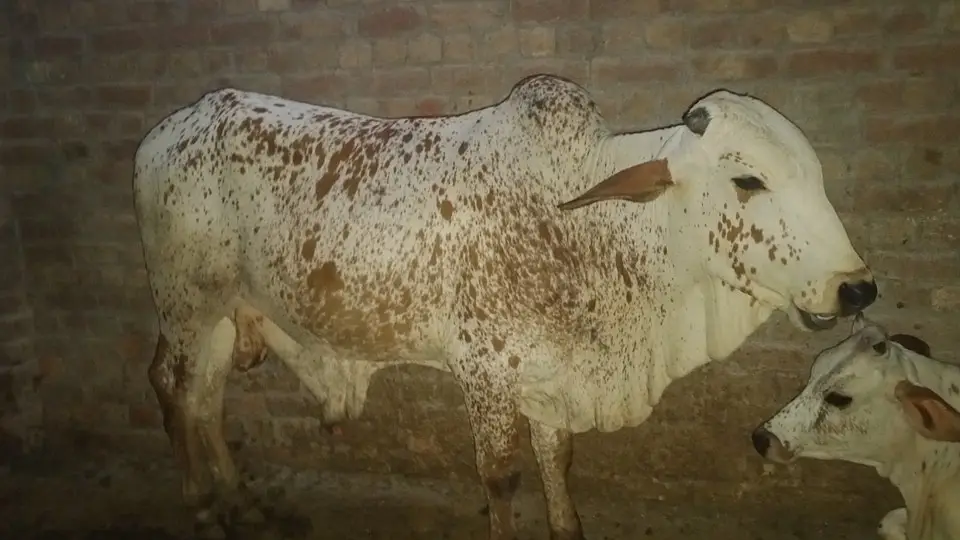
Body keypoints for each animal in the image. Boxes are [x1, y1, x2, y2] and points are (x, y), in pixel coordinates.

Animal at [132, 74, 878, 539]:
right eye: (747, 179)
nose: (858, 287)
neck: (584, 224)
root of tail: (167, 133)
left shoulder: (550, 376)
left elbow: (557, 458)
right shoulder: (484, 374)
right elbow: (501, 477)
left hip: (223, 314)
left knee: (206, 397)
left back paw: (243, 505)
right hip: (185, 306)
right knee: (174, 388)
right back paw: (204, 508)